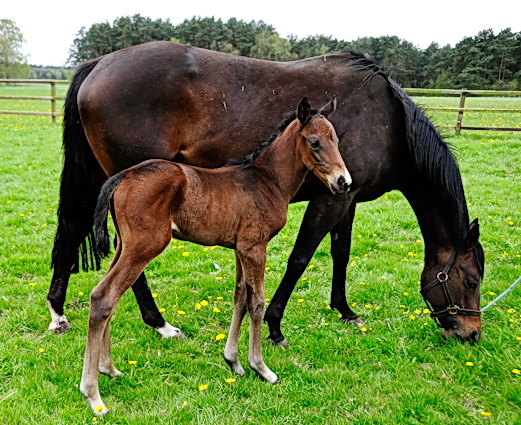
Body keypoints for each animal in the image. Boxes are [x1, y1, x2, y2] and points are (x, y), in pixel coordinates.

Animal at [49, 41, 484, 342]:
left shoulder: (347, 196)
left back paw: (59, 312)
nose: (471, 333)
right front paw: (275, 325)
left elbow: (340, 253)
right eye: (472, 280)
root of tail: (99, 64)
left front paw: (344, 310)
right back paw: (160, 324)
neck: (389, 120)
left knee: (73, 232)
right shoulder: (331, 197)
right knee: (130, 265)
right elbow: (300, 257)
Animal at [80, 97, 350, 414]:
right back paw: (93, 394)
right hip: (144, 245)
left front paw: (234, 362)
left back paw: (109, 369)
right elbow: (257, 302)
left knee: (108, 297)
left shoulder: (239, 248)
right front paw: (261, 368)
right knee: (104, 296)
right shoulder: (255, 247)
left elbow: (240, 297)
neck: (267, 179)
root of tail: (124, 175)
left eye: (336, 140)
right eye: (314, 142)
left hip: (124, 245)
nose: (343, 181)